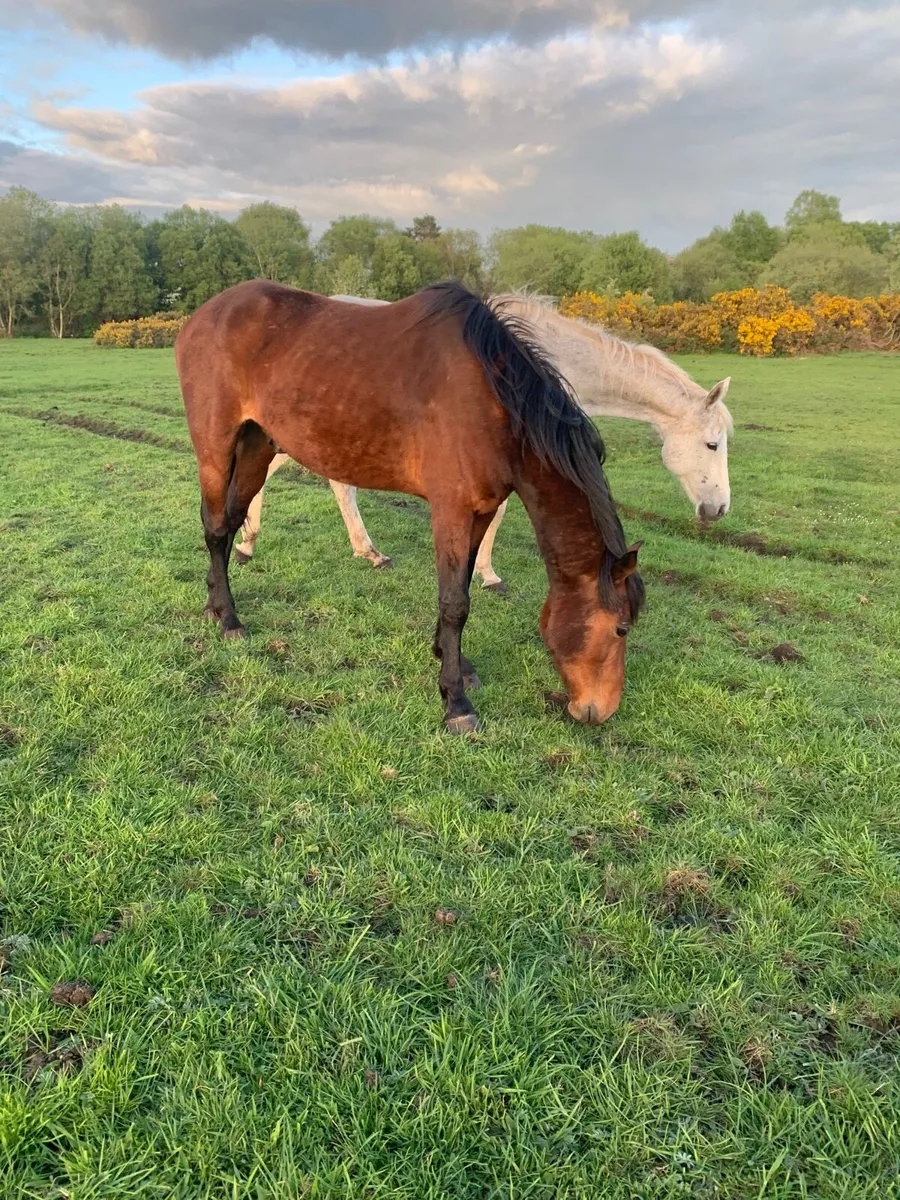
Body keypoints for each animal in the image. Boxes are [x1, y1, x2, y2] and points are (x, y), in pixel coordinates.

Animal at [175, 280, 645, 733]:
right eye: (621, 628)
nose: (600, 711)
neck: (495, 403)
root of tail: (201, 317)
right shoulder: (451, 509)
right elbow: (455, 602)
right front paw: (456, 701)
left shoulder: (480, 511)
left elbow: (462, 586)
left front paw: (453, 661)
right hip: (216, 445)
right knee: (215, 527)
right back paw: (229, 619)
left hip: (257, 446)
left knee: (230, 522)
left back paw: (215, 603)